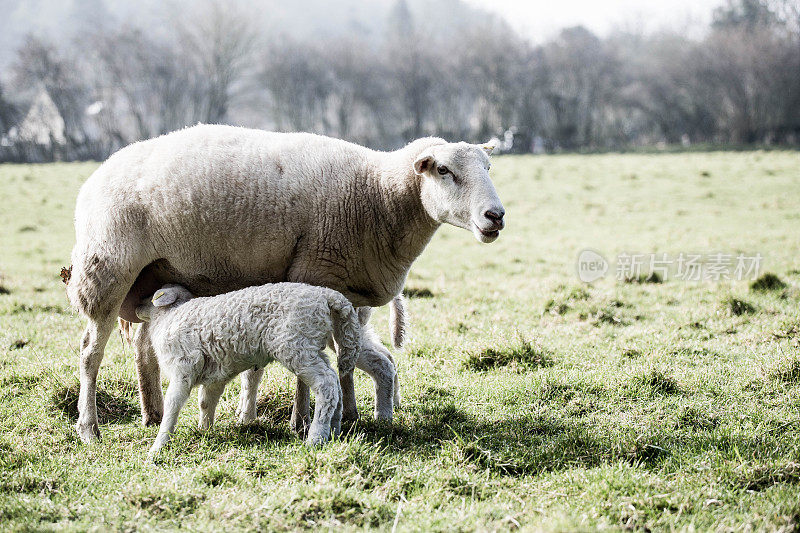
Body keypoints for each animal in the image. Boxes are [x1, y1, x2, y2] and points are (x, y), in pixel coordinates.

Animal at [69, 124, 506, 440]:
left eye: (488, 168)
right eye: (444, 171)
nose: (495, 216)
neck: (377, 194)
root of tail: (95, 177)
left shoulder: (346, 295)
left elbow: (345, 363)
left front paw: (349, 416)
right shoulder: (315, 275)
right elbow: (315, 365)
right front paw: (302, 421)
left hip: (152, 278)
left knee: (144, 347)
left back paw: (152, 413)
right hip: (107, 271)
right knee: (91, 354)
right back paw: (89, 428)